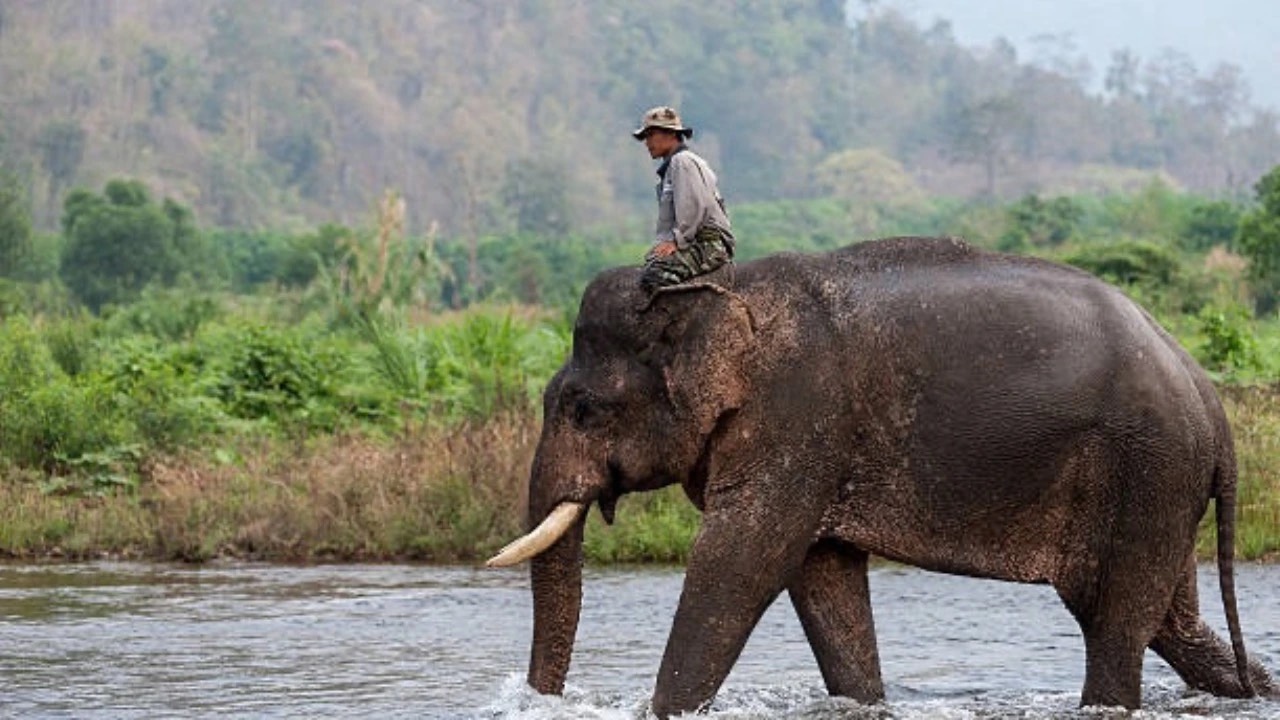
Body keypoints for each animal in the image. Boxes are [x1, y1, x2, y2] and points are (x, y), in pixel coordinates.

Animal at [487, 236, 1276, 718]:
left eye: (582, 409)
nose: (538, 703)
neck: (720, 291)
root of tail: (1213, 408)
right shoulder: (815, 447)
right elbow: (821, 573)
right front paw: (865, 702)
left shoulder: (798, 418)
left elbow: (742, 558)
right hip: (1160, 484)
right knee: (1164, 620)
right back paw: (1255, 690)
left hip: (1149, 471)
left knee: (1117, 622)